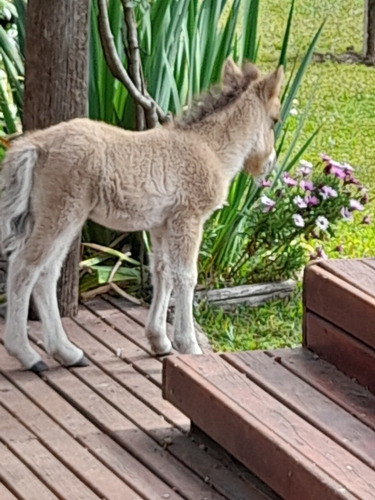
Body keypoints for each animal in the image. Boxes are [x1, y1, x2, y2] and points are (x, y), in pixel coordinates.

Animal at [0, 58, 282, 372]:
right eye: (275, 119)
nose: (269, 163)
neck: (209, 148)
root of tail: (34, 145)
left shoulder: (161, 225)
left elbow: (162, 272)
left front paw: (159, 341)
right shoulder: (188, 218)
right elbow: (186, 275)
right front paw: (189, 345)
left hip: (64, 218)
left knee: (46, 272)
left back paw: (67, 352)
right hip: (60, 213)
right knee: (25, 267)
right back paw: (26, 354)